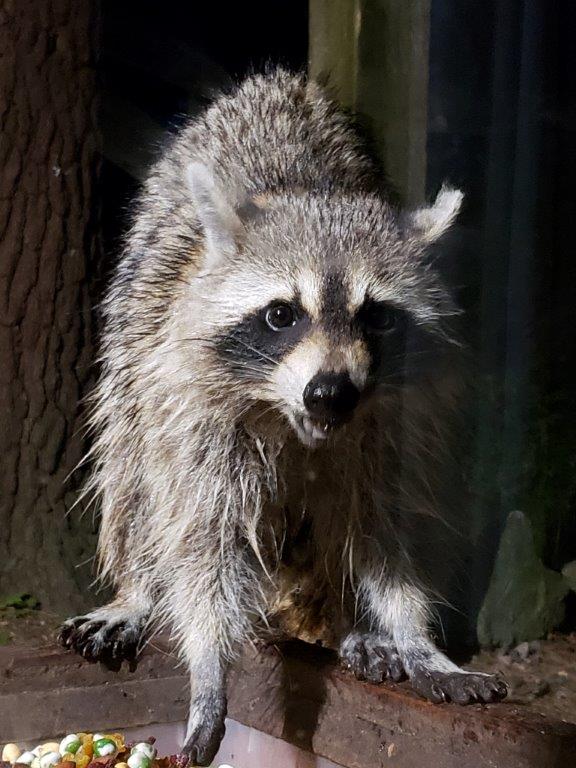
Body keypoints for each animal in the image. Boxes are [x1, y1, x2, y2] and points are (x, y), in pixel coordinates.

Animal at [60, 70, 506, 765]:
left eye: (378, 316)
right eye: (281, 315)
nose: (331, 393)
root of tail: (281, 82)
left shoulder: (395, 424)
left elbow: (384, 530)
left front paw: (409, 631)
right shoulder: (192, 406)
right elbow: (203, 540)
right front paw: (208, 669)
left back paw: (345, 621)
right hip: (135, 340)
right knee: (131, 467)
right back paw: (138, 589)